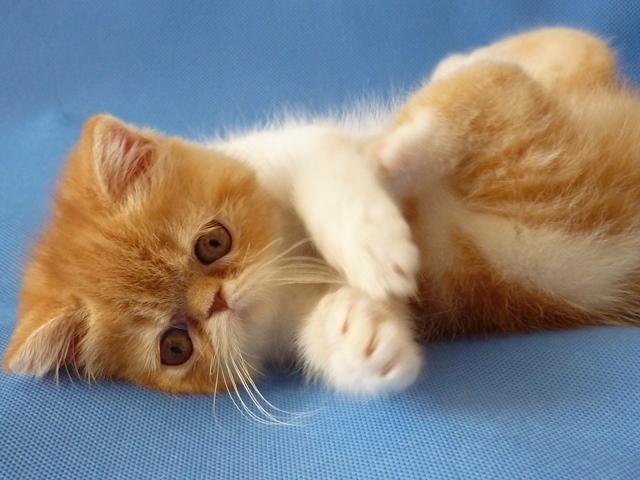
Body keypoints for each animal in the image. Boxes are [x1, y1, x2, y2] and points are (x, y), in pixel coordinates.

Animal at [4, 28, 640, 399]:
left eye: (213, 243)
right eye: (174, 347)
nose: (217, 302)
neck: (292, 261)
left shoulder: (289, 145)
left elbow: (324, 161)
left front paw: (372, 242)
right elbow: (337, 328)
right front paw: (358, 340)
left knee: (527, 61)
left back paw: (416, 119)